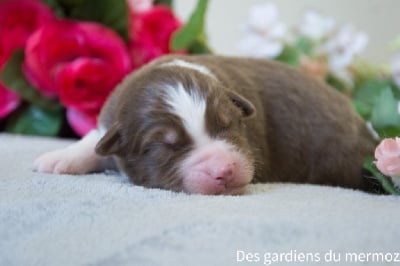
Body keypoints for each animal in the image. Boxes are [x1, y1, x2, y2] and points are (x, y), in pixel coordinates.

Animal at [32, 54, 376, 195]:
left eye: (227, 125)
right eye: (165, 146)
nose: (224, 170)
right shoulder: (110, 121)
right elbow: (95, 140)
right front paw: (57, 159)